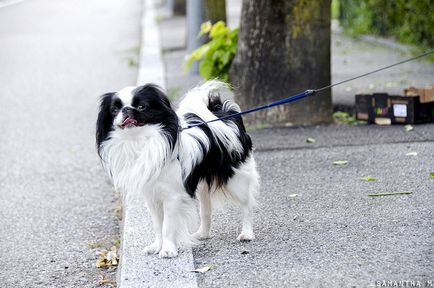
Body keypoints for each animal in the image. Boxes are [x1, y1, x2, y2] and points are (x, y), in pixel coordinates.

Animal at [96, 81, 260, 258]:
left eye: (141, 107)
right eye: (114, 110)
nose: (126, 109)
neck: (140, 142)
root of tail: (226, 115)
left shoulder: (172, 197)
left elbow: (167, 226)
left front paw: (168, 249)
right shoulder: (152, 196)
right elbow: (158, 225)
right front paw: (157, 246)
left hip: (236, 181)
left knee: (246, 205)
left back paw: (247, 233)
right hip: (203, 187)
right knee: (206, 210)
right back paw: (202, 234)